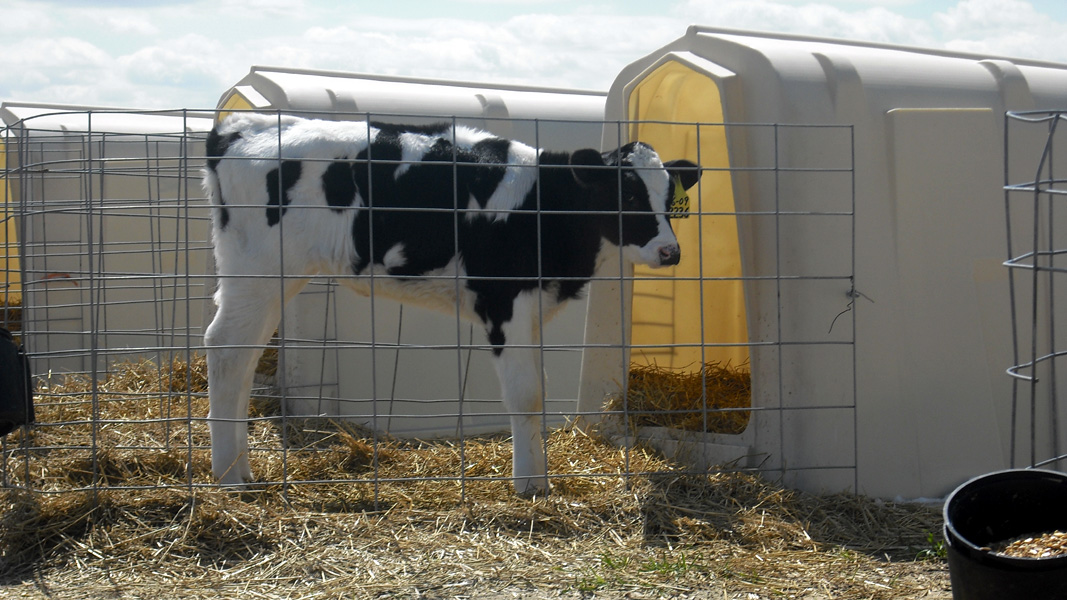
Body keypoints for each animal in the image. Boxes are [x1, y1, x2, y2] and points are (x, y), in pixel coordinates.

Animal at [202, 113, 701, 496]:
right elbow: (526, 394)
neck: (543, 208)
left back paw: (240, 466)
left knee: (244, 357)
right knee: (225, 349)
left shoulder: (531, 309)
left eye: (670, 198)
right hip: (258, 268)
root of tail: (239, 127)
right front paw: (530, 484)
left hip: (268, 278)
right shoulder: (503, 300)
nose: (670, 251)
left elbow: (536, 390)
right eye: (627, 194)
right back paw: (229, 476)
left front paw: (537, 475)